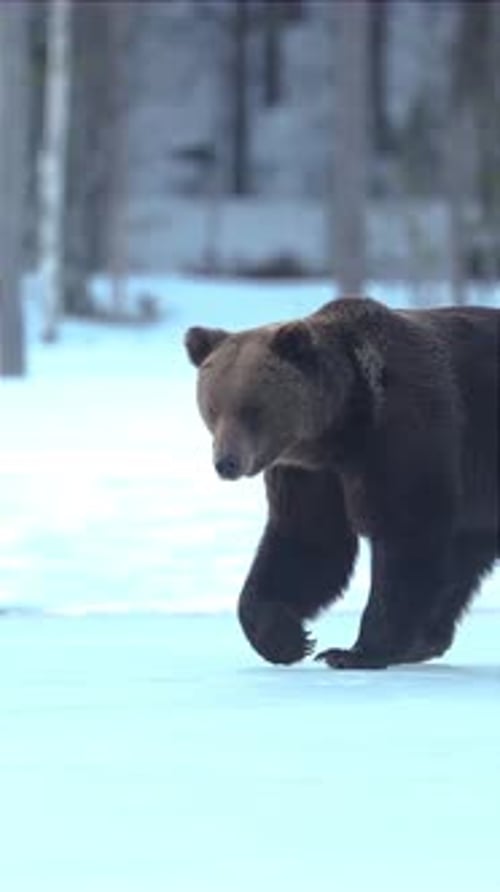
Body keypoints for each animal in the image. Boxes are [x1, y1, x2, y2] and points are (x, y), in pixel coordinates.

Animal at [184, 296, 499, 669]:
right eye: (212, 408)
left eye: (253, 408)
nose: (227, 463)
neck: (340, 428)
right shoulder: (310, 473)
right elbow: (308, 541)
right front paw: (288, 639)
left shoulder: (404, 435)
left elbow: (404, 532)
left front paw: (354, 652)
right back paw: (426, 641)